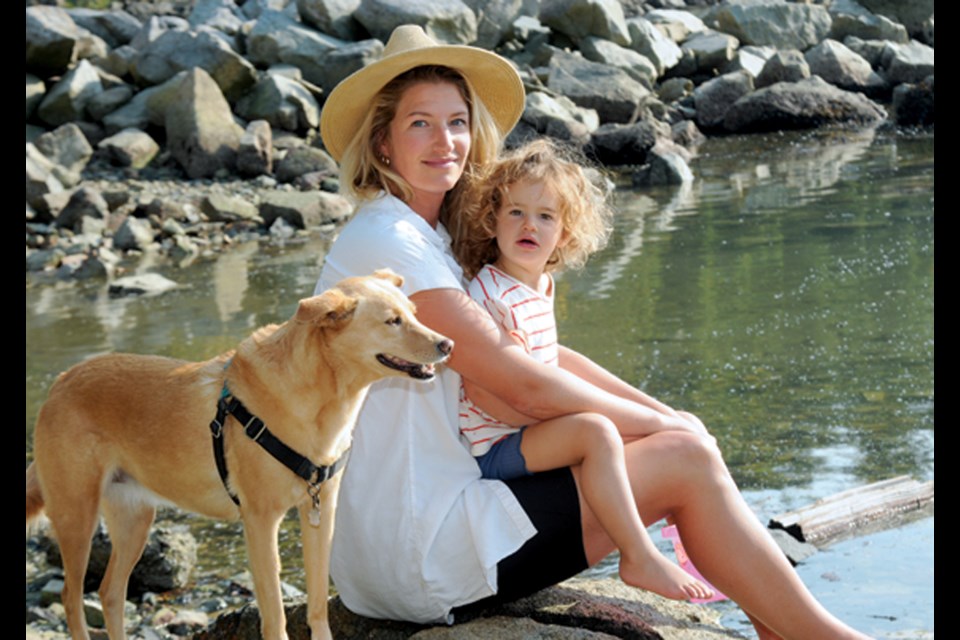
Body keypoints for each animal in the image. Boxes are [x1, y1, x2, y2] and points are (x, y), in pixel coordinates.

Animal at [25, 270, 454, 640]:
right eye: (392, 321)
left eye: (414, 313)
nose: (447, 344)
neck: (322, 396)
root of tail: (59, 383)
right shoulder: (260, 522)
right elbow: (275, 616)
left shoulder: (319, 513)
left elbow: (317, 605)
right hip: (76, 516)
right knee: (71, 598)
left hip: (134, 520)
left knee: (110, 592)